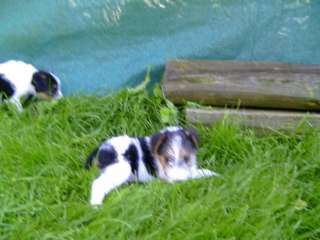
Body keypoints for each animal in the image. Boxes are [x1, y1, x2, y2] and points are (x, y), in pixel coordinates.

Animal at [85, 125, 218, 206]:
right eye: (168, 159)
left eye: (186, 158)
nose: (179, 182)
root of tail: (102, 148)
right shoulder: (165, 176)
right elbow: (195, 175)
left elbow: (195, 172)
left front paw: (213, 174)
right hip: (121, 169)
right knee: (98, 184)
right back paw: (96, 205)